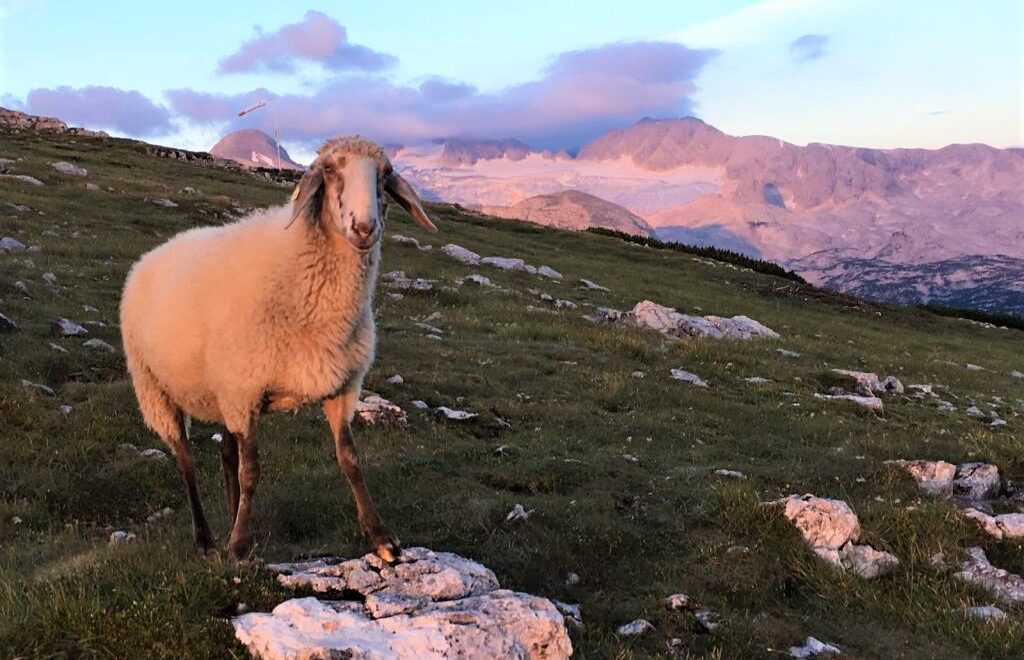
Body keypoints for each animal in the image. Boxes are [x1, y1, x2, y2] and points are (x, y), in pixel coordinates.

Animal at [118, 136, 436, 556]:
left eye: (385, 174)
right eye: (329, 169)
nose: (365, 227)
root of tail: (152, 255)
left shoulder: (341, 386)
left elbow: (349, 458)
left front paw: (381, 536)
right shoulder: (243, 391)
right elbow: (252, 470)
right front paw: (240, 545)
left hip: (220, 391)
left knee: (226, 451)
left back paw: (231, 516)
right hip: (156, 388)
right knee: (186, 461)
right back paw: (206, 540)